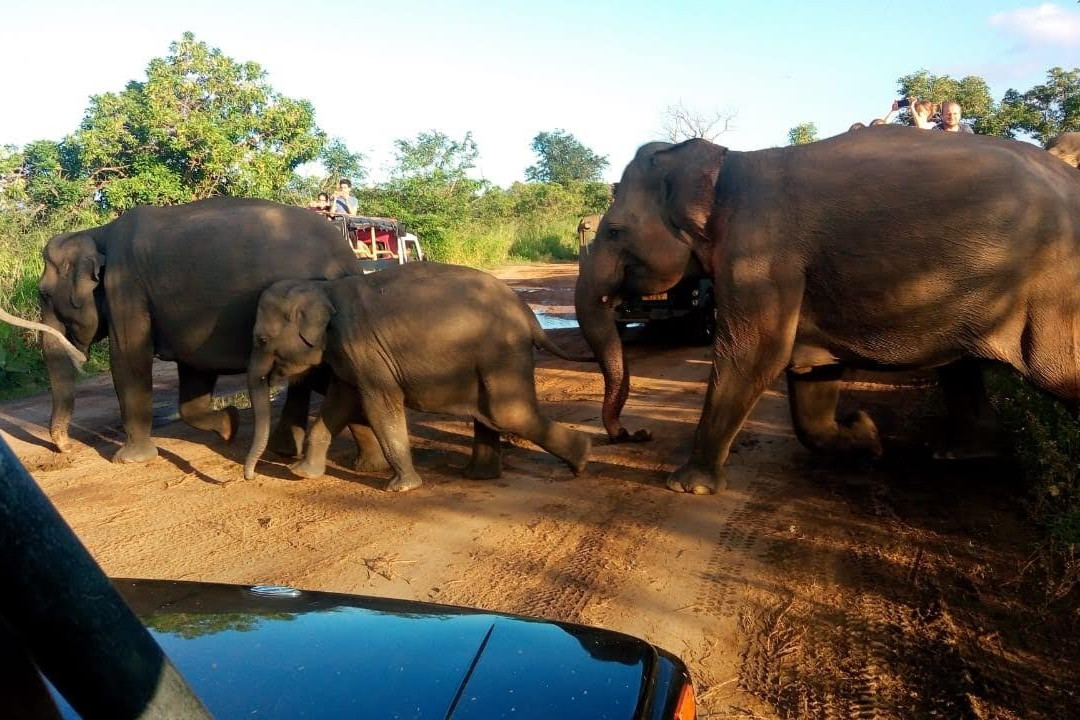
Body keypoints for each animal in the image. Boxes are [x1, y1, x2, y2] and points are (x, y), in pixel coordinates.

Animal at [5, 197, 358, 464]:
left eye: (44, 294)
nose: (65, 448)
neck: (97, 232)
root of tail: (349, 258)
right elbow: (194, 371)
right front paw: (229, 425)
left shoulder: (126, 287)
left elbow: (129, 358)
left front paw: (129, 460)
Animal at [246, 262, 596, 492]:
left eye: (261, 340)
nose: (250, 477)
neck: (322, 287)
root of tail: (529, 315)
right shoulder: (348, 356)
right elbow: (340, 401)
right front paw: (301, 473)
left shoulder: (365, 348)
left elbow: (380, 405)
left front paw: (401, 488)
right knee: (490, 414)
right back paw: (478, 476)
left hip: (502, 352)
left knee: (508, 413)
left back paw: (582, 459)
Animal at [578, 126, 1080, 492]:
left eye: (614, 232)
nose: (634, 435)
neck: (725, 162)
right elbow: (809, 375)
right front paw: (868, 436)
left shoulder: (760, 253)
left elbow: (754, 354)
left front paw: (686, 485)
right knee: (961, 369)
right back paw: (961, 455)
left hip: (1056, 295)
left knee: (1059, 375)